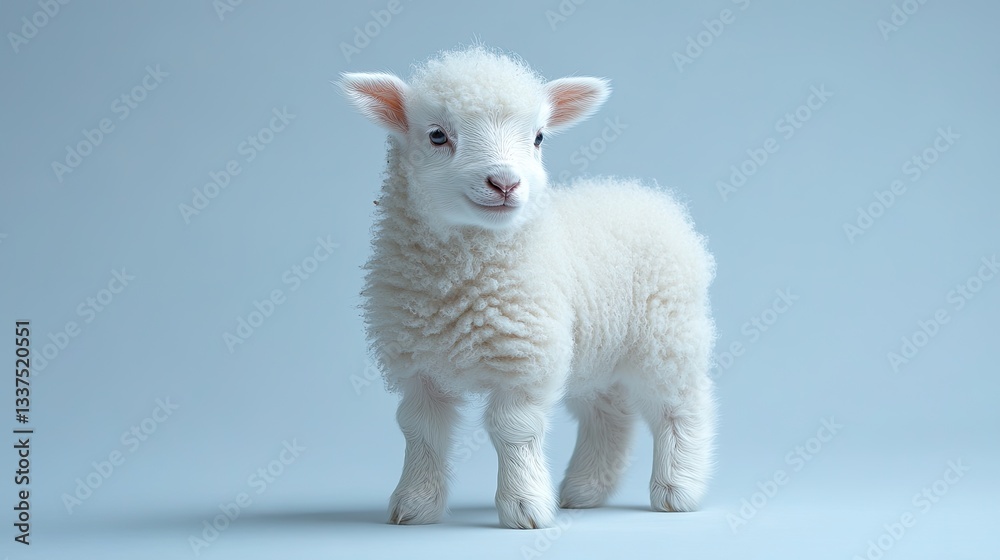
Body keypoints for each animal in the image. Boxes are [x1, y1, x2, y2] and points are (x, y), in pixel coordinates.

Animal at [339, 46, 716, 530]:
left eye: (538, 138)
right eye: (437, 136)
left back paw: (677, 488)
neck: (458, 286)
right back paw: (585, 490)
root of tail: (648, 196)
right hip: (596, 350)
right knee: (607, 412)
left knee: (680, 406)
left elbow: (513, 429)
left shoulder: (524, 359)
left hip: (667, 334)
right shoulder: (419, 367)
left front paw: (525, 506)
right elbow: (420, 429)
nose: (505, 183)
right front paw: (415, 504)